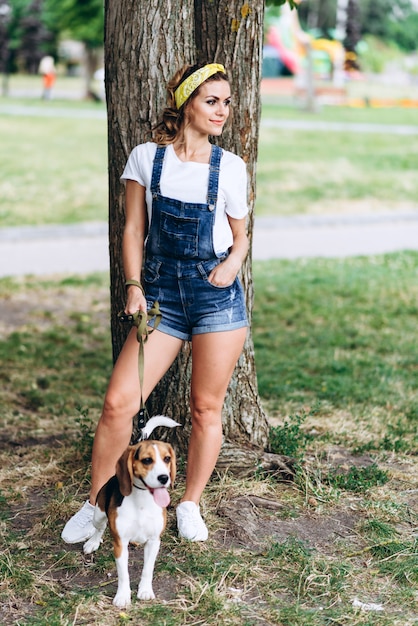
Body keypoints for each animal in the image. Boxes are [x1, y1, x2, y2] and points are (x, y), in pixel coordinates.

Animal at [83, 420, 176, 604]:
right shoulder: (120, 544)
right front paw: (122, 596)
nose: (164, 478)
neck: (142, 501)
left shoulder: (154, 541)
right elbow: (123, 574)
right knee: (99, 527)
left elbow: (147, 569)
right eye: (147, 460)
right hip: (98, 513)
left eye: (167, 458)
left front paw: (145, 590)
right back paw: (93, 542)